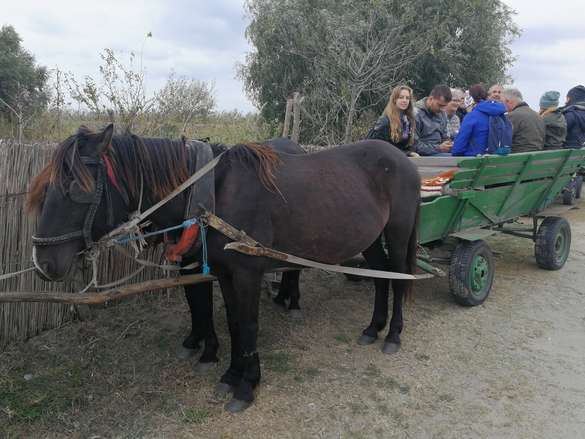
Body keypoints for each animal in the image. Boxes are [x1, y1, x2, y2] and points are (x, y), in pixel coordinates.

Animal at [29, 125, 420, 414]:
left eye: (75, 188)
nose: (43, 262)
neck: (214, 195)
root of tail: (402, 159)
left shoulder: (247, 273)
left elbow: (247, 325)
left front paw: (247, 387)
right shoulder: (225, 273)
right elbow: (231, 322)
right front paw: (231, 374)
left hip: (398, 234)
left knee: (400, 279)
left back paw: (392, 335)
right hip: (369, 239)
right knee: (380, 279)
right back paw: (372, 328)